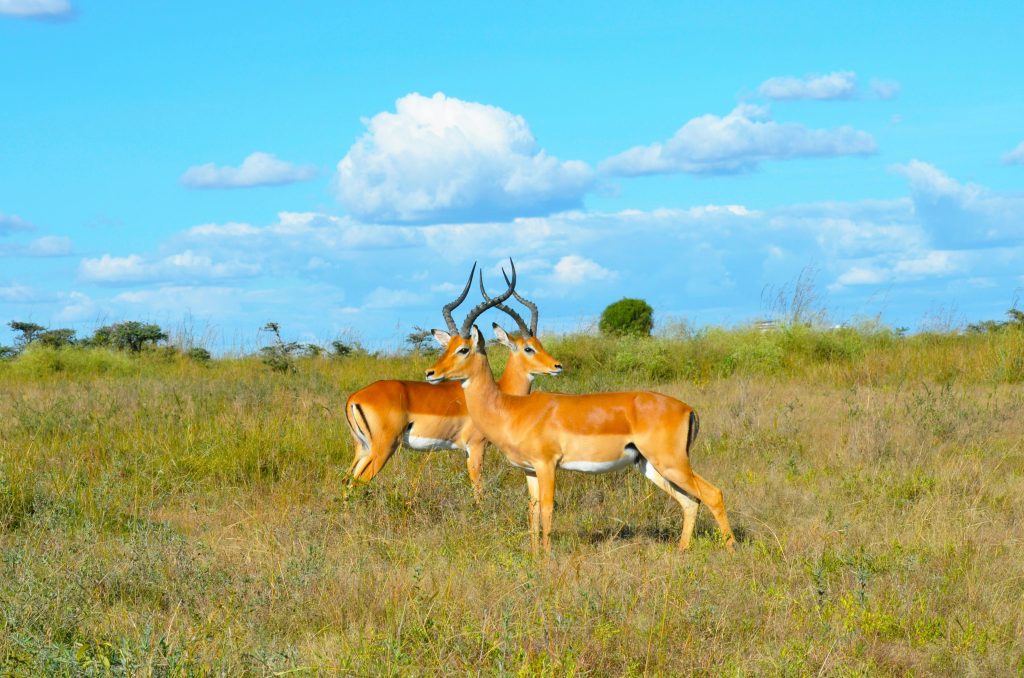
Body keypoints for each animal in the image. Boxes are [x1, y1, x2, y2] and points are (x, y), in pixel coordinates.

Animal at [344, 262, 561, 501]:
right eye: (528, 348)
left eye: (539, 344)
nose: (557, 366)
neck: (497, 392)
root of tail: (354, 398)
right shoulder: (476, 447)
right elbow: (479, 491)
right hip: (382, 449)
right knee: (354, 484)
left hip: (363, 449)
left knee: (345, 482)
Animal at [425, 262, 737, 557]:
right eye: (446, 347)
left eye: (463, 349)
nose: (431, 373)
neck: (511, 409)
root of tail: (688, 409)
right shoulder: (530, 471)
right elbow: (532, 510)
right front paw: (534, 555)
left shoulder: (547, 465)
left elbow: (548, 508)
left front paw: (547, 556)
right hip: (651, 466)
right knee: (690, 501)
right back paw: (682, 551)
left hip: (671, 463)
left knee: (713, 494)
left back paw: (731, 550)